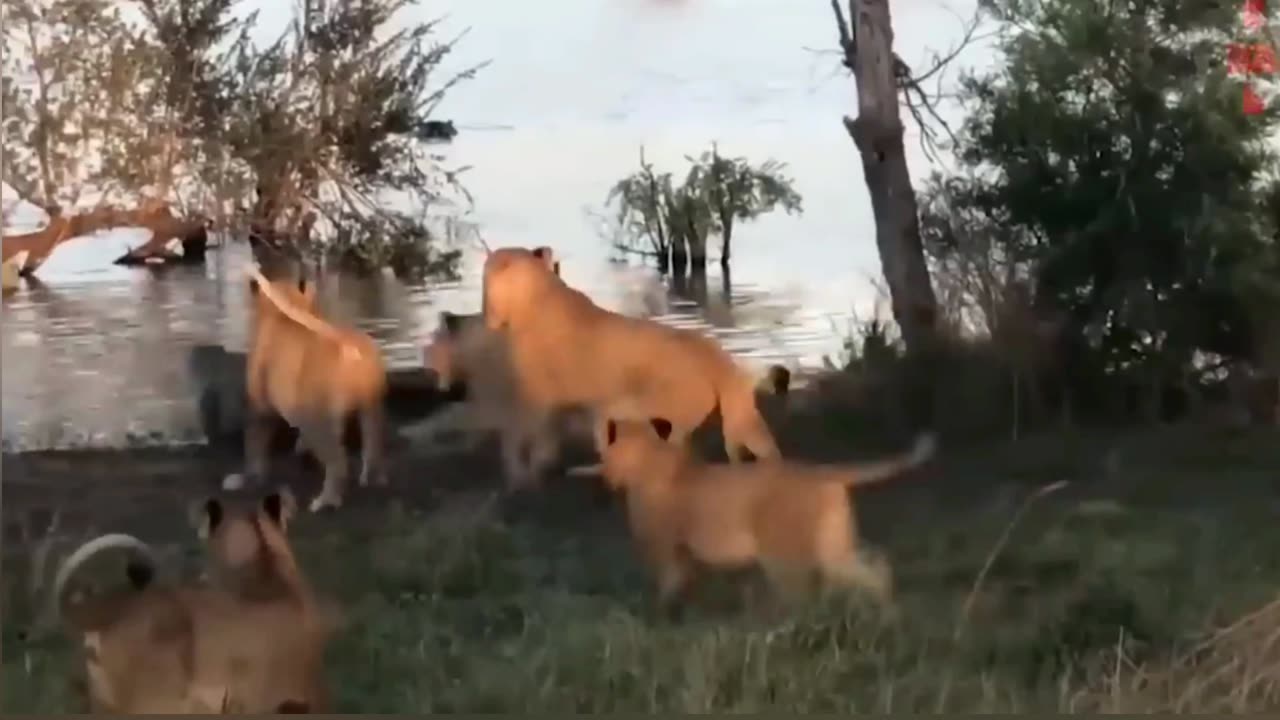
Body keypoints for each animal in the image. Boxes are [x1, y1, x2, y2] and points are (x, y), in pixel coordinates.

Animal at [225, 263, 386, 509]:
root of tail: (350, 346)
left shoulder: (258, 407)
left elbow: (253, 443)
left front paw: (249, 478)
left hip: (316, 418)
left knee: (338, 461)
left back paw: (325, 501)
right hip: (371, 408)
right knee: (372, 445)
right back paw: (372, 479)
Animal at [593, 415, 936, 609]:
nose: (605, 474)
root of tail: (816, 472)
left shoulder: (665, 549)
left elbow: (667, 587)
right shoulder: (685, 554)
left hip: (781, 555)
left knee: (802, 599)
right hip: (834, 550)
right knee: (877, 568)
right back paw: (888, 616)